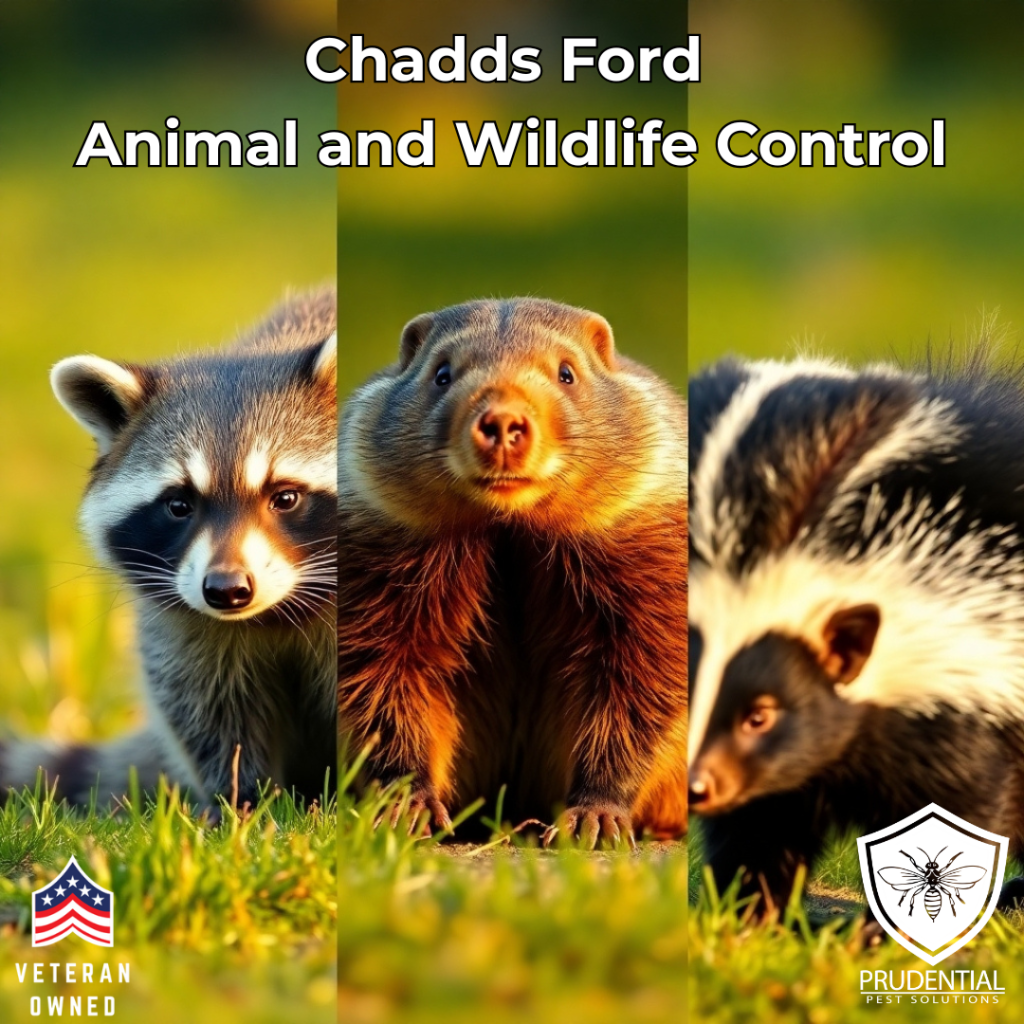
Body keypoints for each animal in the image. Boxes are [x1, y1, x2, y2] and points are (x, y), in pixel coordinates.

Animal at [0, 289, 338, 811]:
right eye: (180, 504)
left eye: (285, 497)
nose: (227, 590)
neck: (278, 611)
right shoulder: (181, 621)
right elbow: (206, 707)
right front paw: (241, 797)